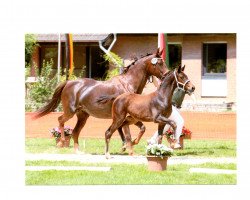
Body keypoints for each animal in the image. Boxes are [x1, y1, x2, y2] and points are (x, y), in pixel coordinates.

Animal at [33, 48, 168, 153]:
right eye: (160, 63)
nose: (166, 75)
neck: (128, 83)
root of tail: (69, 82)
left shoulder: (128, 117)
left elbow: (139, 129)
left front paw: (129, 144)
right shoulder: (125, 117)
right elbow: (128, 133)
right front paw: (129, 146)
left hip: (83, 116)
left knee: (75, 132)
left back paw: (78, 151)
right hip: (70, 111)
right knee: (61, 120)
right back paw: (61, 142)